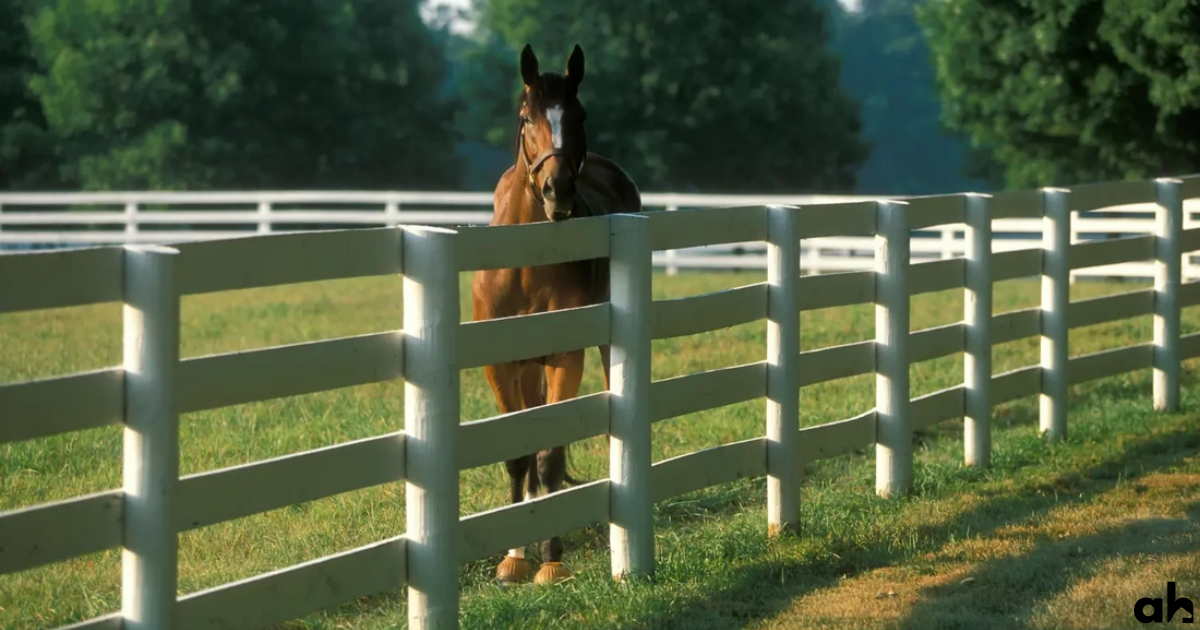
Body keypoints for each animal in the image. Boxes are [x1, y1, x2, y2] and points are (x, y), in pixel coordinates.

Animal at [471, 43, 642, 585]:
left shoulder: (565, 356)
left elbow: (548, 457)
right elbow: (519, 455)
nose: (557, 190)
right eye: (527, 118)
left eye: (579, 115)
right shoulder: (500, 365)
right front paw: (513, 558)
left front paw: (551, 560)